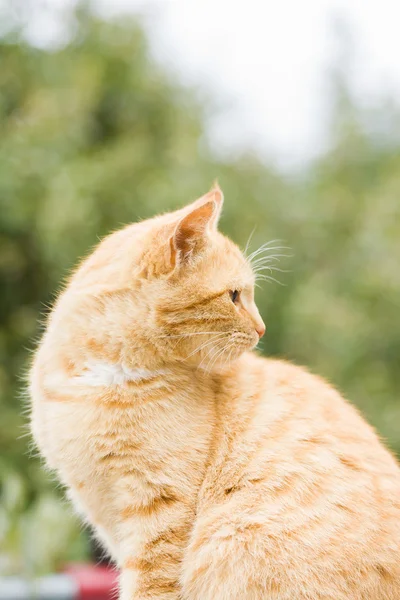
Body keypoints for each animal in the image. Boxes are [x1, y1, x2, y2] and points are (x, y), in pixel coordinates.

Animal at [29, 189, 400, 600]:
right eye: (234, 296)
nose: (262, 328)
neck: (103, 377)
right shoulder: (104, 513)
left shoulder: (158, 509)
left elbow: (149, 586)